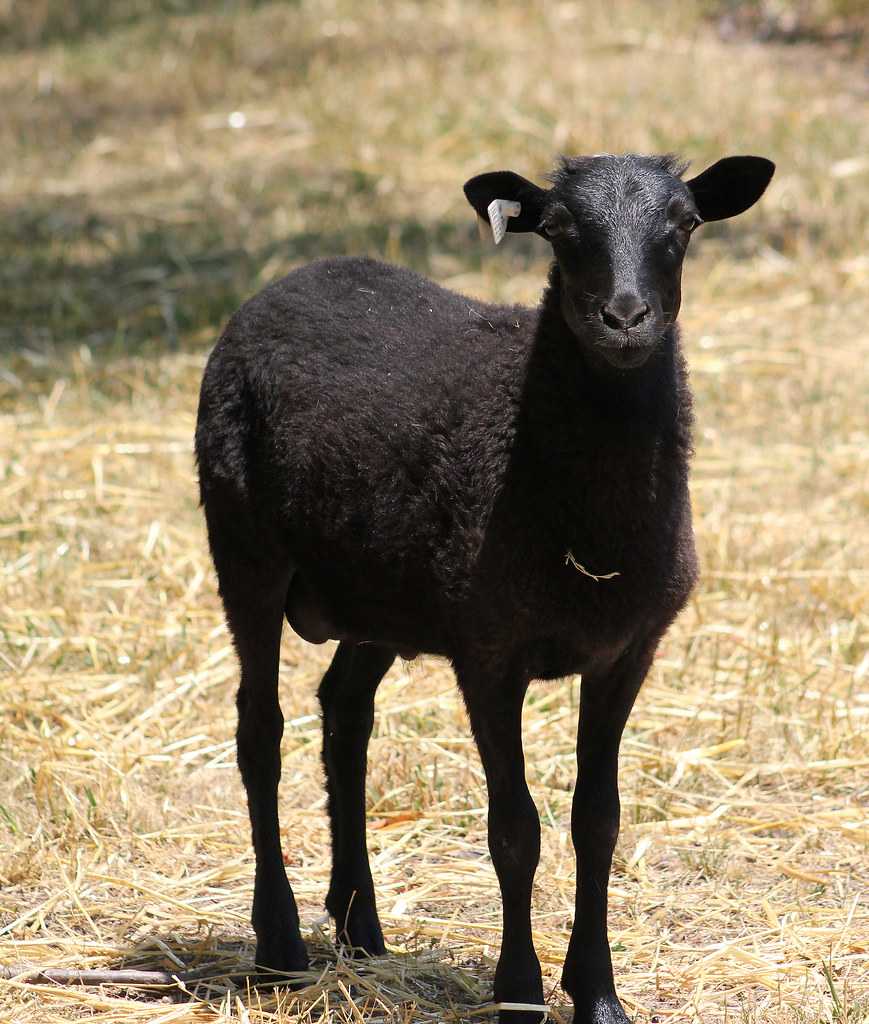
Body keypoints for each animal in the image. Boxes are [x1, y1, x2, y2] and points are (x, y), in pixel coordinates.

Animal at [194, 151, 774, 1023]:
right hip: (245, 547)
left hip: (378, 594)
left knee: (344, 715)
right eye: (560, 230)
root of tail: (288, 278)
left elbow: (596, 820)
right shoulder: (490, 652)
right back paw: (281, 946)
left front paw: (597, 993)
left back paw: (360, 927)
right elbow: (515, 831)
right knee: (259, 732)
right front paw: (520, 992)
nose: (624, 318)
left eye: (683, 224)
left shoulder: (626, 649)